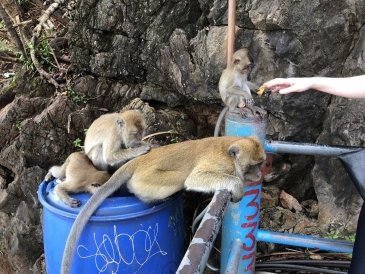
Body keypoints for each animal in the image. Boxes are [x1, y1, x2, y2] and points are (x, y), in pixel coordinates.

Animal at [60, 136, 264, 272]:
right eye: (254, 165)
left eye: (261, 163)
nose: (260, 174)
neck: (229, 149)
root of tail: (138, 161)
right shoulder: (222, 164)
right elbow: (195, 178)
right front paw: (237, 186)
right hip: (146, 179)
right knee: (181, 178)